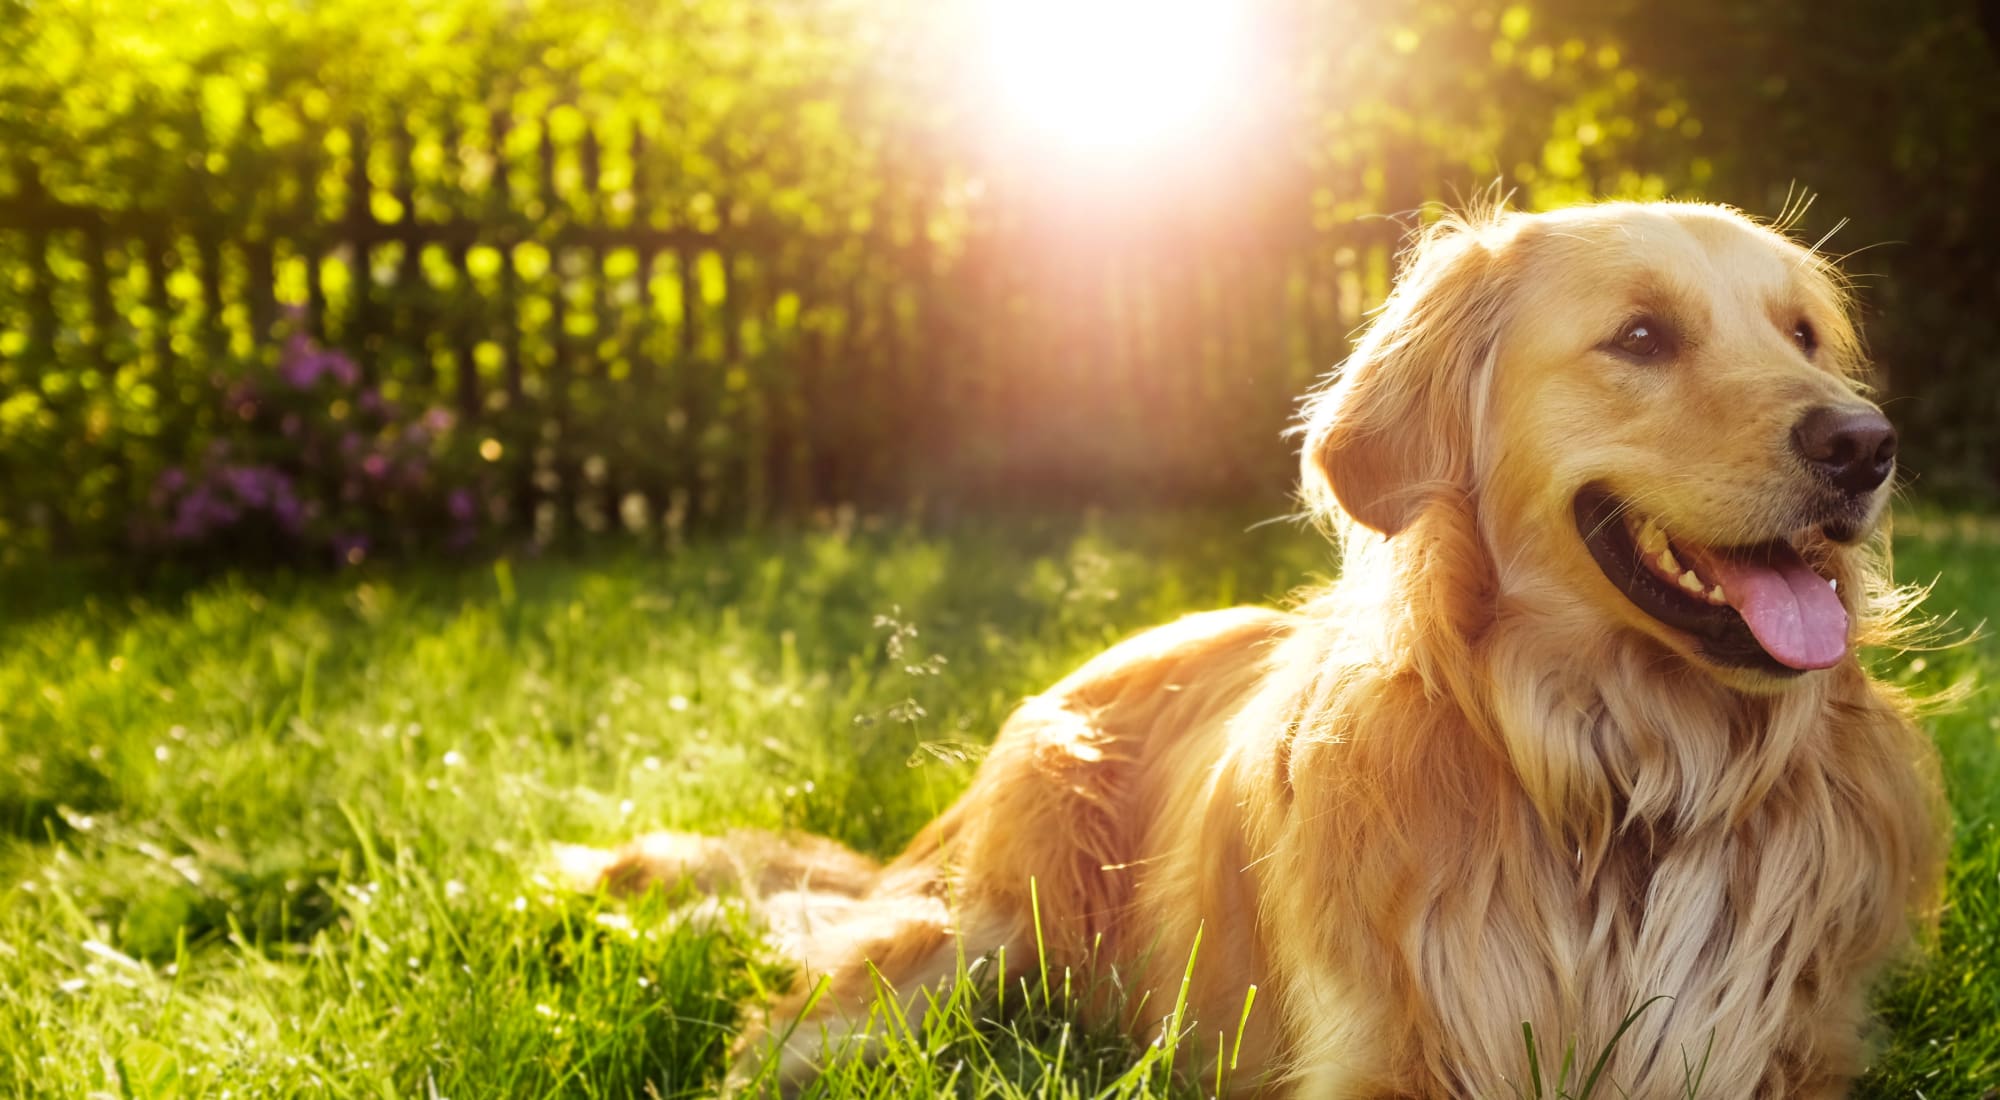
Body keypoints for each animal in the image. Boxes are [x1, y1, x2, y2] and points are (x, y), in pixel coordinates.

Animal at [564, 203, 1936, 1096]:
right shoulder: (1381, 1052)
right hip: (974, 937)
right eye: (1642, 337)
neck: (1623, 787)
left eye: (1802, 335)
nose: (1865, 445)